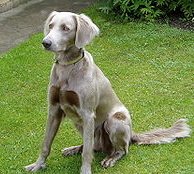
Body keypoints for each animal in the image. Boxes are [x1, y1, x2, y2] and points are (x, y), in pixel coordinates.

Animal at [24, 11, 191, 173]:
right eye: (51, 26)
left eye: (65, 28)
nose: (45, 43)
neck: (68, 66)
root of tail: (132, 133)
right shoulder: (54, 110)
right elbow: (46, 143)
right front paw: (37, 165)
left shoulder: (87, 114)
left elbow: (87, 154)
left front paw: (85, 171)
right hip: (79, 123)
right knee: (92, 146)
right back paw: (73, 149)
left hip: (115, 119)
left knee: (120, 150)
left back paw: (110, 158)